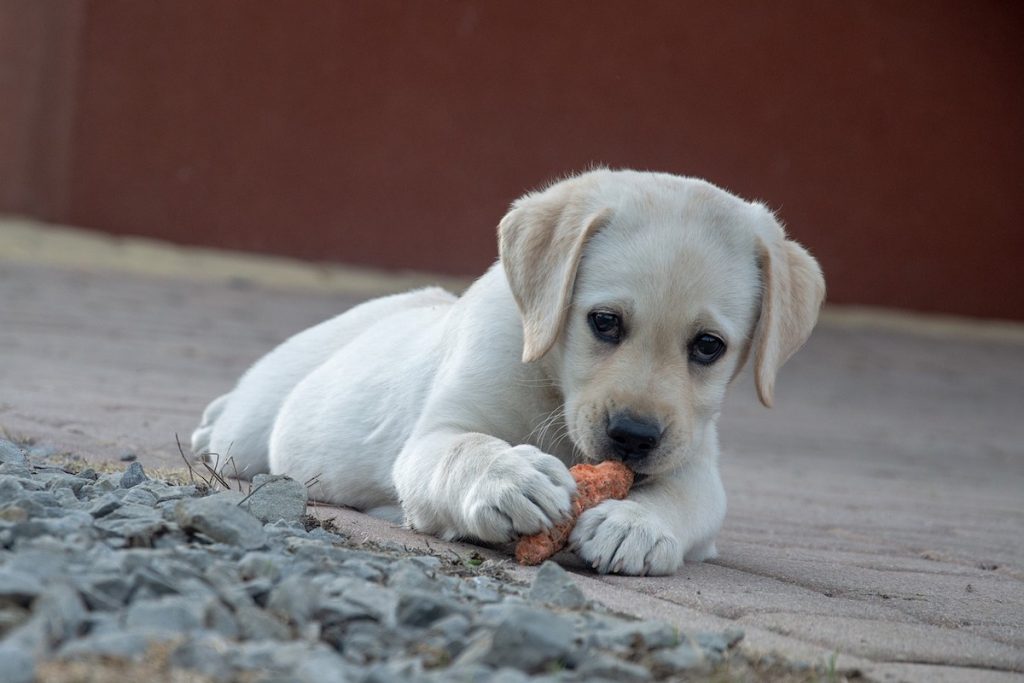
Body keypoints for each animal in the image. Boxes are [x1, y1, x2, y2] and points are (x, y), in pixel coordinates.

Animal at [192, 167, 823, 573]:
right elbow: (464, 448)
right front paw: (510, 478)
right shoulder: (433, 436)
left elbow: (684, 498)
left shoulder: (695, 461)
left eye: (709, 346)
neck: (552, 387)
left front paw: (636, 524)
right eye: (604, 322)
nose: (633, 437)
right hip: (252, 428)